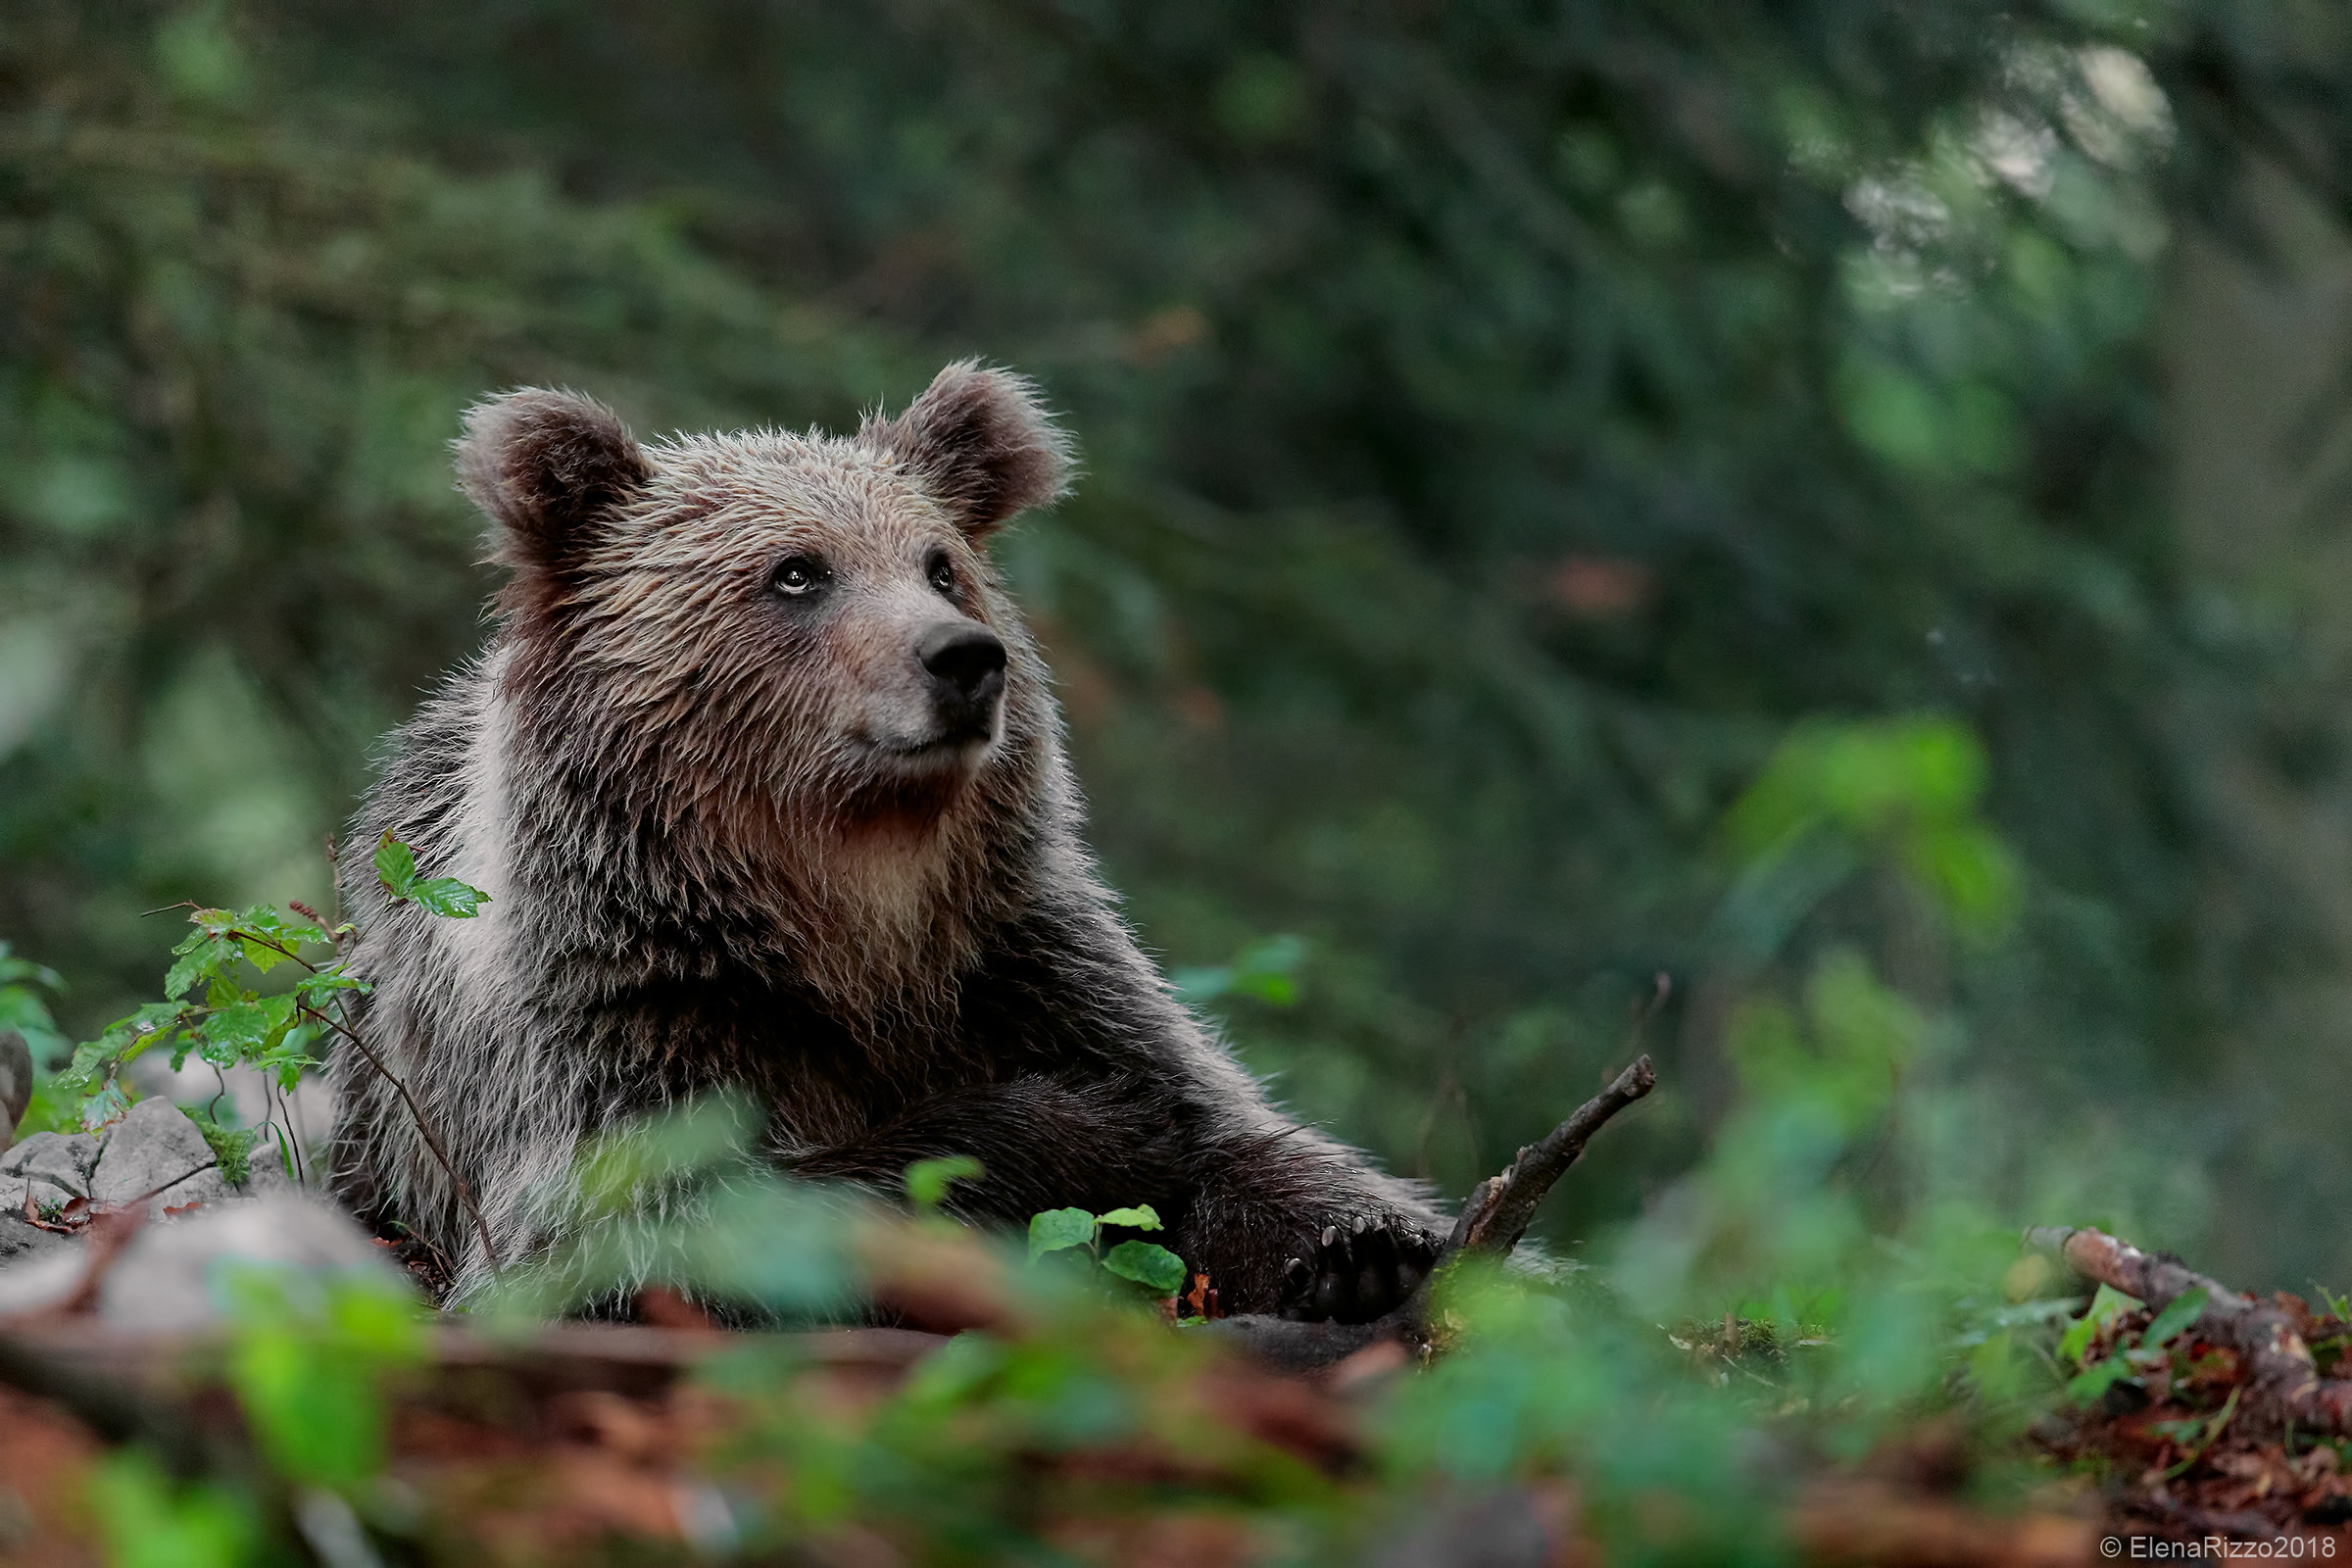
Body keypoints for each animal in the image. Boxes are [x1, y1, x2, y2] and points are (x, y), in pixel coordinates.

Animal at [330, 362, 1446, 1321]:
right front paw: (1084, 1128)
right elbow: (657, 1230)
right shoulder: (627, 1013)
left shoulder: (1022, 965)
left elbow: (1229, 1124)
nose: (965, 658)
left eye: (941, 566)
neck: (851, 913)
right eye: (796, 572)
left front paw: (1362, 1245)